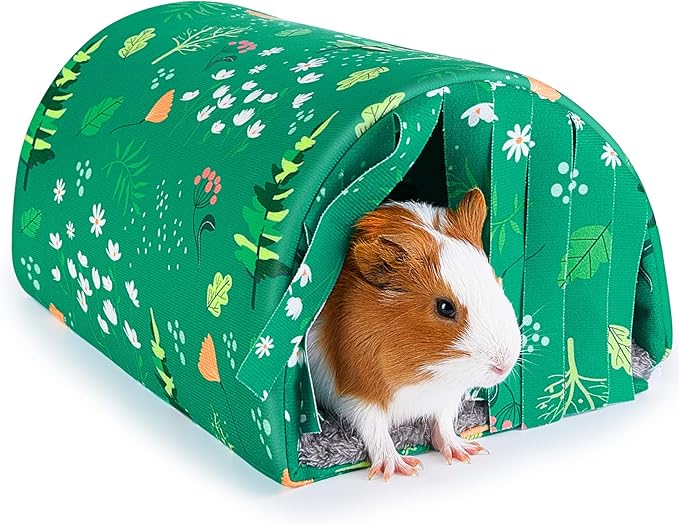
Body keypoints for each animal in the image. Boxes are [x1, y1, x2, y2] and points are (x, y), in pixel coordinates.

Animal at [306, 188, 521, 480]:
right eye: (445, 307)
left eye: (496, 281)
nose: (504, 365)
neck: (424, 377)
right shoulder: (358, 395)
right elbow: (375, 430)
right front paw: (400, 469)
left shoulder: (446, 397)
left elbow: (443, 424)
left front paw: (465, 451)